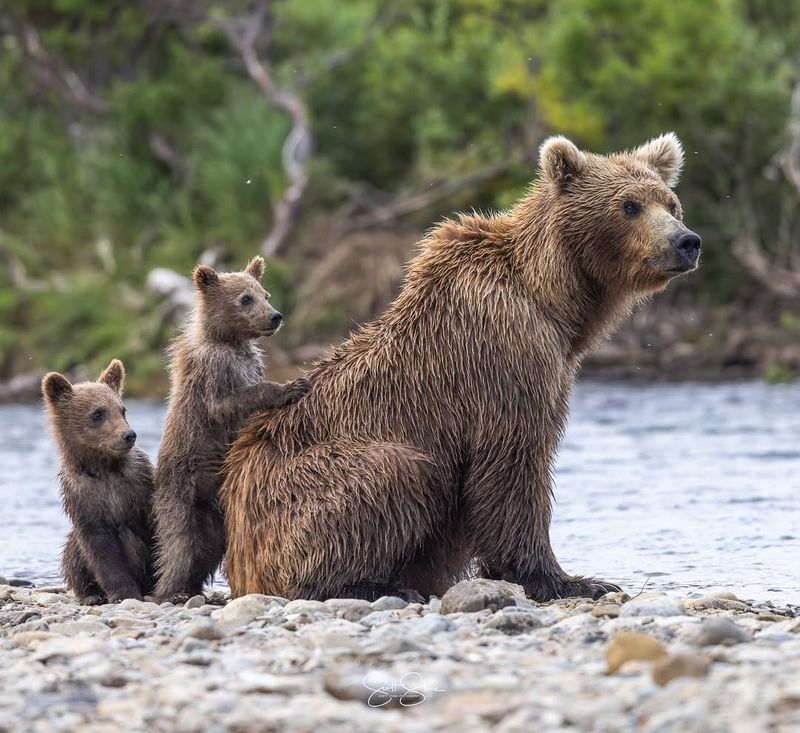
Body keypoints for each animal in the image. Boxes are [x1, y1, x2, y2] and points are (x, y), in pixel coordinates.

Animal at [220, 132, 700, 600]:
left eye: (670, 203)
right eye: (629, 205)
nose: (686, 241)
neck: (555, 300)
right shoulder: (504, 356)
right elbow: (513, 463)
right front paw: (571, 580)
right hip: (301, 488)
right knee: (396, 473)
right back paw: (365, 584)